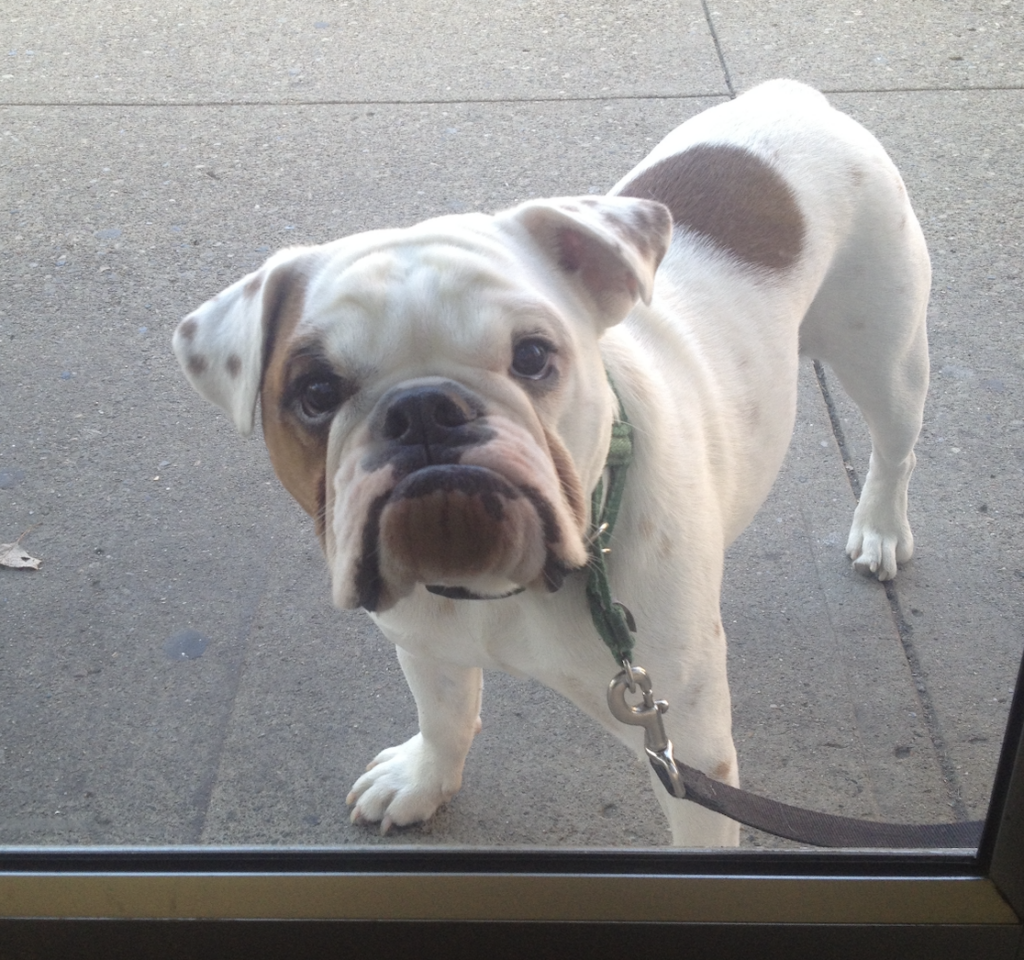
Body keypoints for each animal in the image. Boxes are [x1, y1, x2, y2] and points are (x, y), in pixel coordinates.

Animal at [174, 82, 929, 847]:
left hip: (885, 356)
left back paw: (880, 530)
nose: (424, 409)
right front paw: (422, 781)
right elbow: (443, 715)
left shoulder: (691, 754)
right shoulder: (424, 643)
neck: (498, 588)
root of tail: (790, 95)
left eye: (533, 356)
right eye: (316, 393)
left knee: (895, 446)